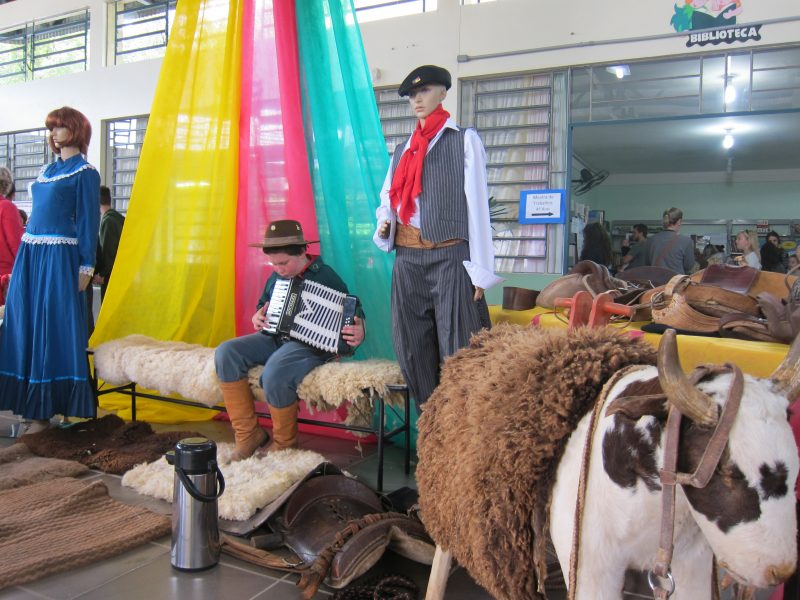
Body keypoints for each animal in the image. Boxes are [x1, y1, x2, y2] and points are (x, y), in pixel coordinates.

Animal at [416, 325, 799, 600]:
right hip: (450, 510)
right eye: (724, 470)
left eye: (794, 469)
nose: (779, 571)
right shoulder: (592, 571)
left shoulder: (692, 567)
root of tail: (481, 339)